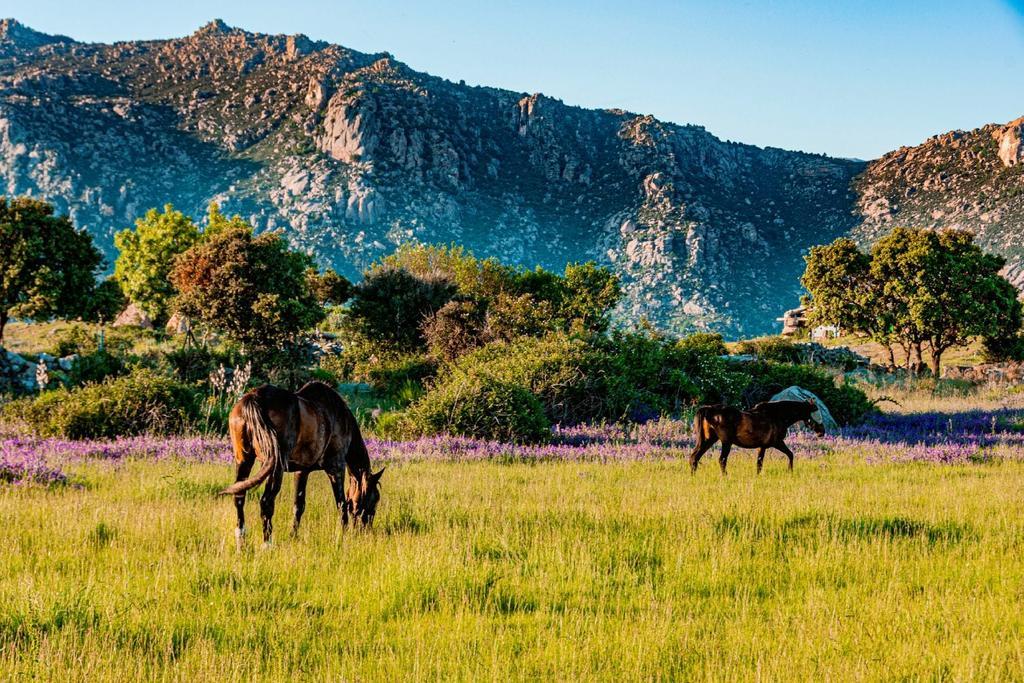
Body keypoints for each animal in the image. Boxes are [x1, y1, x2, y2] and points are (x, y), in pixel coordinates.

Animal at [220, 380, 384, 547]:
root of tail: (255, 398)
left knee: (239, 496)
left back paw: (241, 541)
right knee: (266, 502)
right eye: (375, 498)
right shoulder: (336, 467)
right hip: (276, 468)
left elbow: (298, 505)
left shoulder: (302, 472)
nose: (365, 530)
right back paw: (267, 544)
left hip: (243, 460)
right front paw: (344, 534)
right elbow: (341, 503)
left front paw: (293, 535)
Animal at [688, 399, 825, 475]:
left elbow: (759, 463)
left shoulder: (762, 446)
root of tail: (708, 409)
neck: (777, 415)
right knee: (721, 460)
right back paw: (725, 477)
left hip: (708, 440)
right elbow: (790, 455)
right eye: (814, 413)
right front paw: (790, 472)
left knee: (694, 458)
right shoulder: (777, 442)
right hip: (726, 442)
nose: (822, 432)